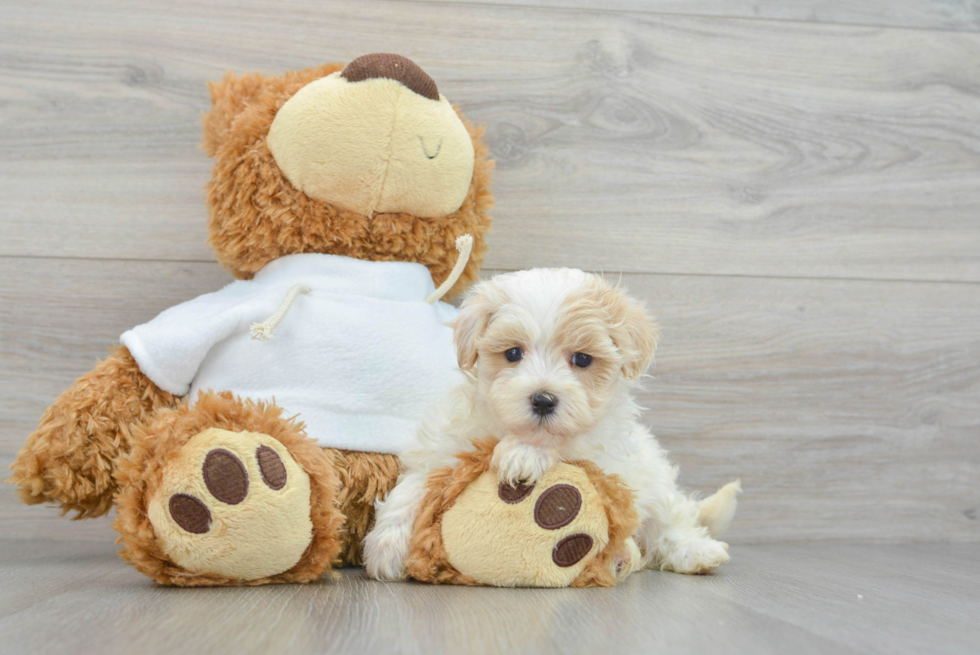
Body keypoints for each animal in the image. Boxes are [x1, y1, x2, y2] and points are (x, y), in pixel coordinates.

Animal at [364, 266, 740, 580]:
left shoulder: (600, 450)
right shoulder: (446, 446)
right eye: (513, 353)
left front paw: (523, 454)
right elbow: (416, 485)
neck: (509, 430)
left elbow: (565, 445)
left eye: (583, 359)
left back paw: (692, 552)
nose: (543, 400)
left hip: (655, 483)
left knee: (671, 524)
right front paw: (386, 544)